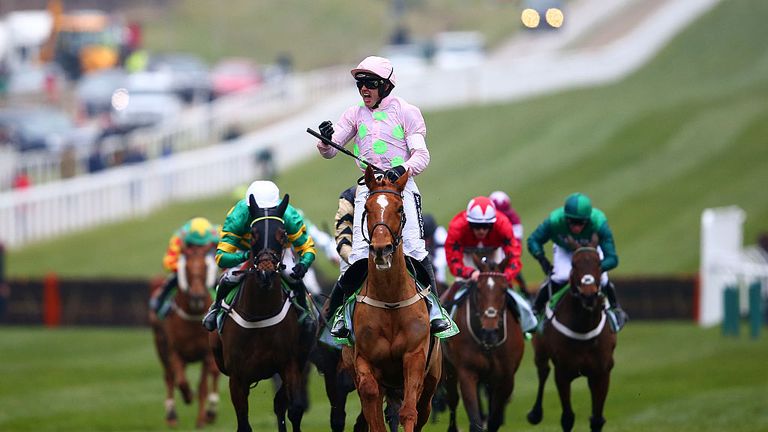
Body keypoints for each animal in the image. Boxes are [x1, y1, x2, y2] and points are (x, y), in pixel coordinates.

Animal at [151, 243, 220, 428]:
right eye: (187, 268)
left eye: (205, 267)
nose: (197, 296)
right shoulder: (174, 351)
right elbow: (180, 381)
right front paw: (188, 396)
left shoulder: (207, 354)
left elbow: (203, 387)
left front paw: (201, 419)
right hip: (160, 345)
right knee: (169, 376)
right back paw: (171, 415)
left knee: (214, 374)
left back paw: (211, 412)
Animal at [340, 166, 440, 432]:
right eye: (367, 208)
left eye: (400, 208)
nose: (381, 248)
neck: (390, 301)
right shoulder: (365, 360)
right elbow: (370, 395)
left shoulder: (415, 356)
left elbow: (409, 411)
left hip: (432, 378)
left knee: (421, 406)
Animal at [440, 253, 524, 432]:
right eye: (478, 288)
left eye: (504, 289)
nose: (490, 331)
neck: (488, 345)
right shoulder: (467, 372)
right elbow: (475, 421)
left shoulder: (506, 376)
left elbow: (495, 420)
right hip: (448, 368)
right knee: (452, 399)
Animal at [528, 243, 616, 432]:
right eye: (574, 265)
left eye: (599, 263)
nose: (589, 295)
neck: (584, 328)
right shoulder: (563, 372)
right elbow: (567, 418)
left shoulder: (601, 373)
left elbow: (597, 420)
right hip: (540, 351)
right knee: (543, 372)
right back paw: (535, 413)